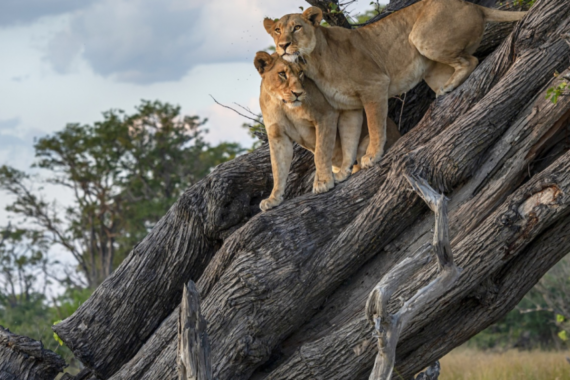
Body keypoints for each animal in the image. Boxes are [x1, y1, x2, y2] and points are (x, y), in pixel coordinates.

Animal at [264, 0, 524, 168]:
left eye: (297, 27)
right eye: (277, 30)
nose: (283, 45)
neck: (313, 61)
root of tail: (474, 5)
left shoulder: (375, 85)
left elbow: (375, 125)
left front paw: (371, 156)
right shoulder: (347, 107)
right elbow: (348, 138)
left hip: (421, 36)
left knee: (471, 60)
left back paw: (448, 88)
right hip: (431, 68)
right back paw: (446, 89)